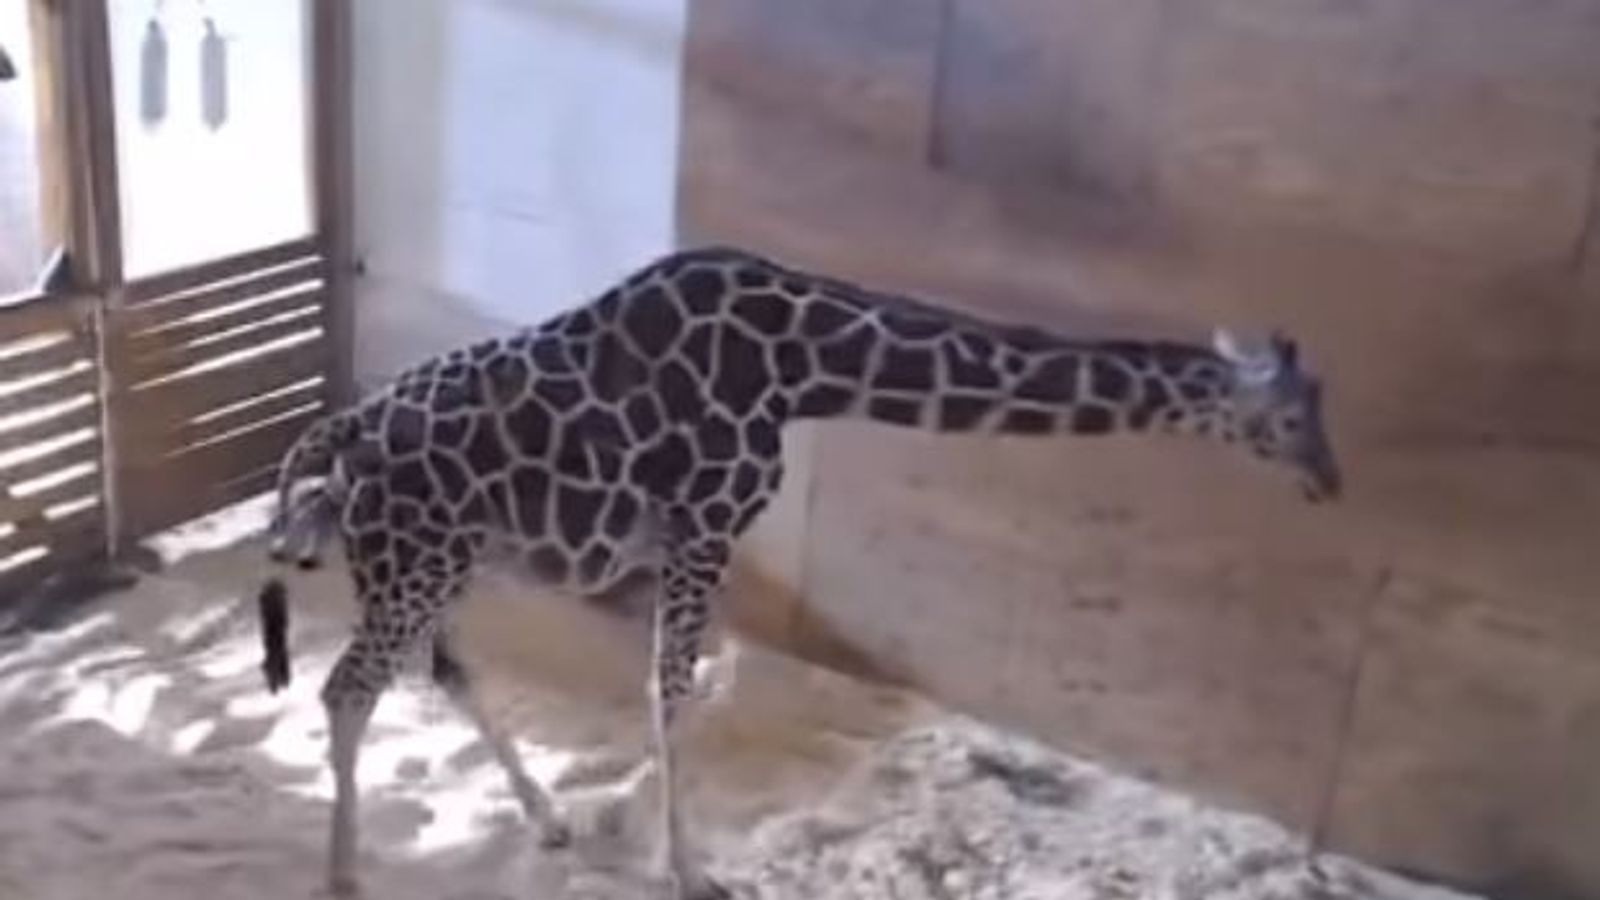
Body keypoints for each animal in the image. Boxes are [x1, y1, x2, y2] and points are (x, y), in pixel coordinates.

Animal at [255, 245, 1341, 899]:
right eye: (1291, 416)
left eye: (1318, 406)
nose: (1329, 481)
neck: (807, 364)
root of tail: (339, 438)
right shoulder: (705, 526)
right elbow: (670, 692)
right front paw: (689, 873)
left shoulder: (685, 544)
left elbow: (686, 687)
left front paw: (652, 843)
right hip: (418, 565)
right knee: (347, 689)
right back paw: (345, 876)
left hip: (439, 562)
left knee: (441, 671)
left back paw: (549, 820)